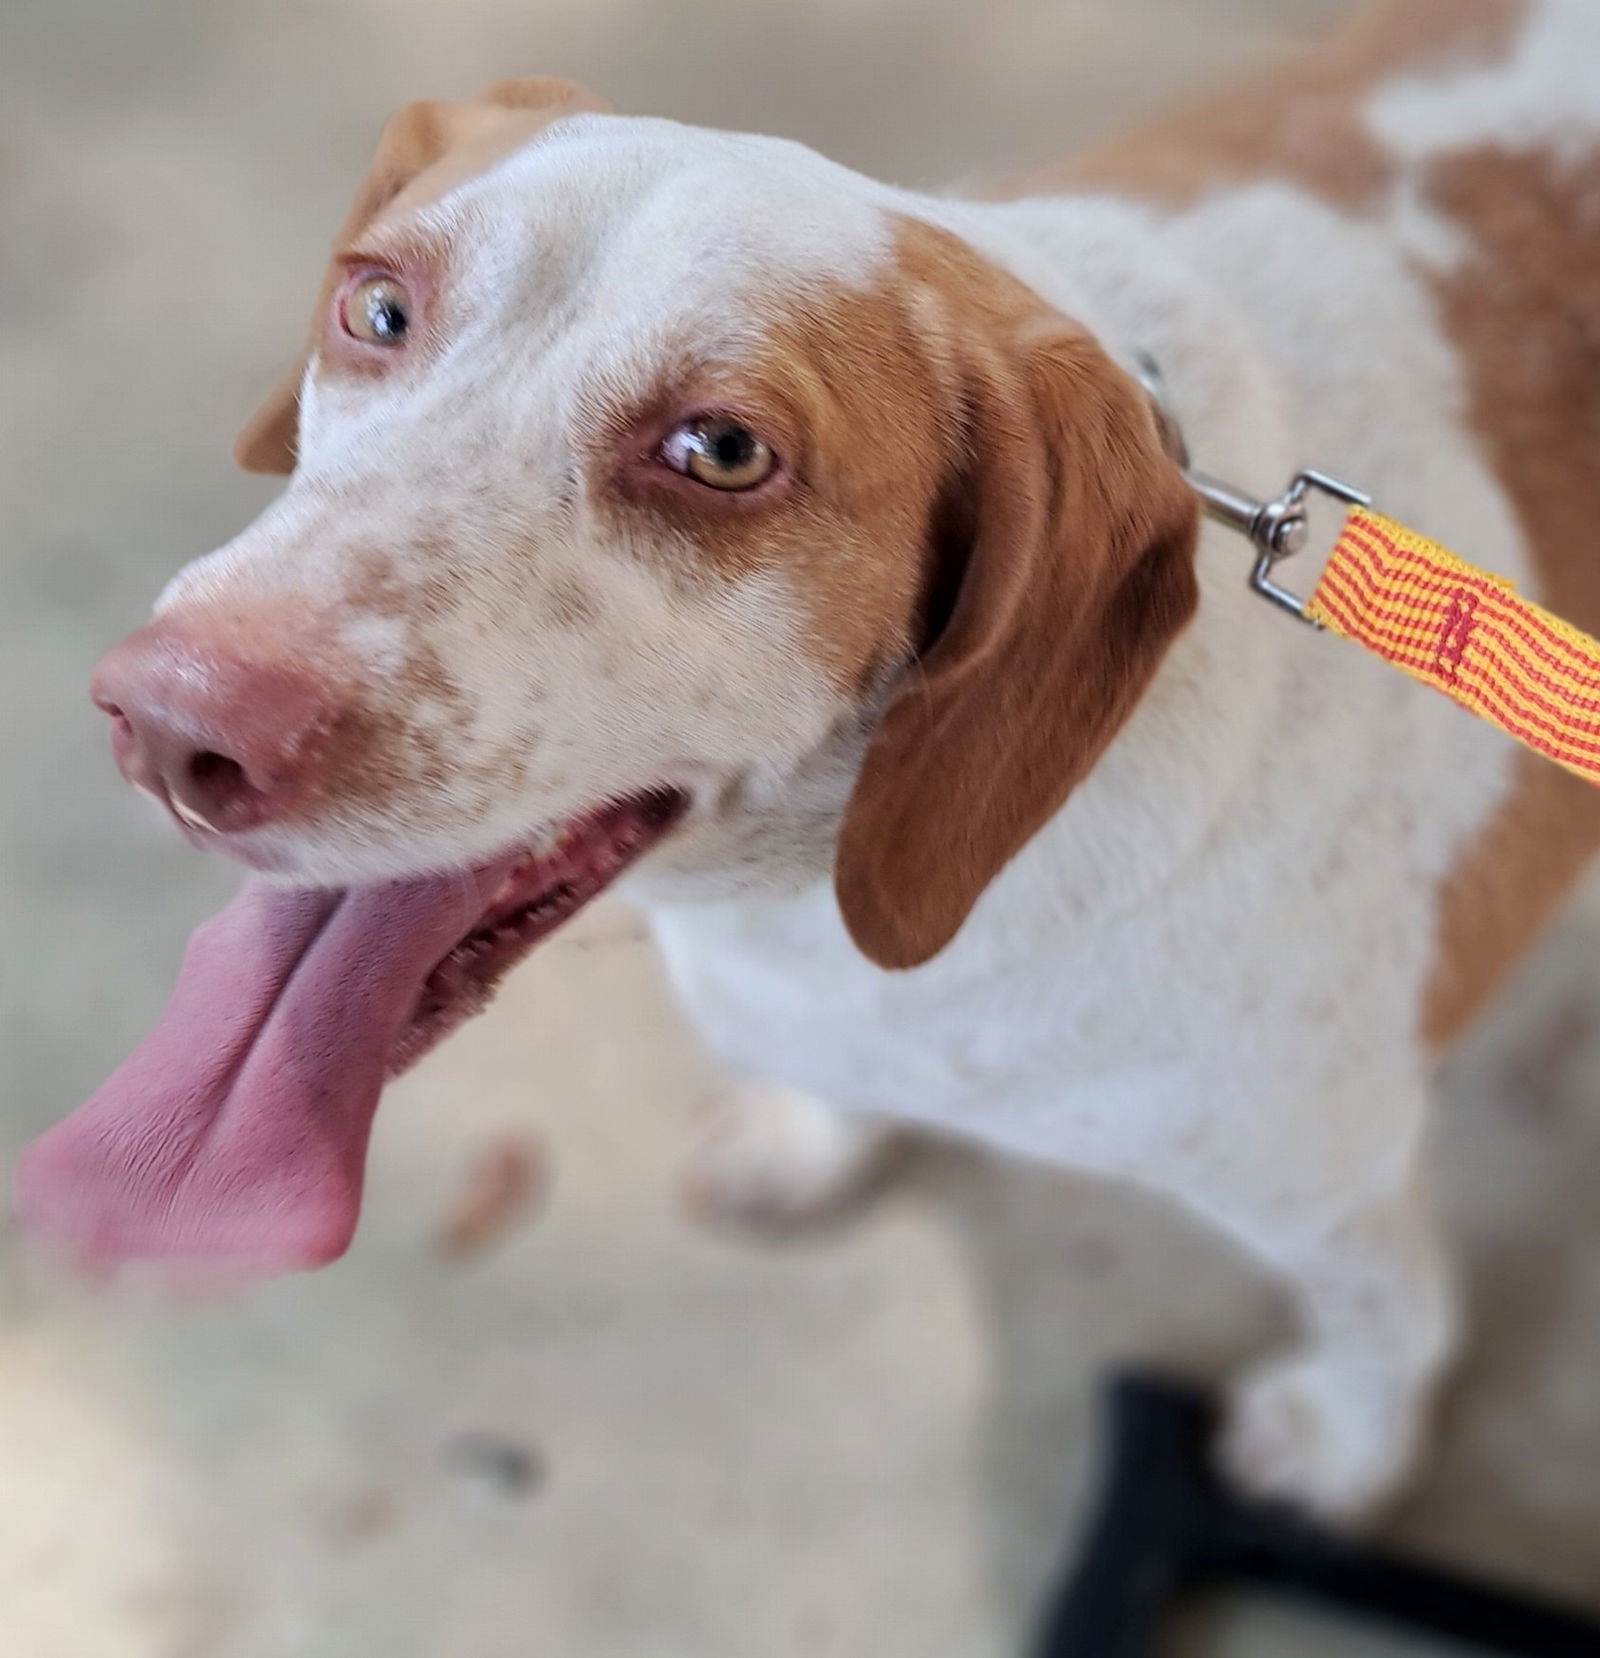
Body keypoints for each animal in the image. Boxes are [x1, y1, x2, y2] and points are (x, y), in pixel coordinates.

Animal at [15, 0, 1598, 1518]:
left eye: (720, 451)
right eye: (377, 305)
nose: (170, 724)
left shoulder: (1331, 1181)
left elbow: (1386, 1311)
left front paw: (1349, 1440)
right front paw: (805, 1137)